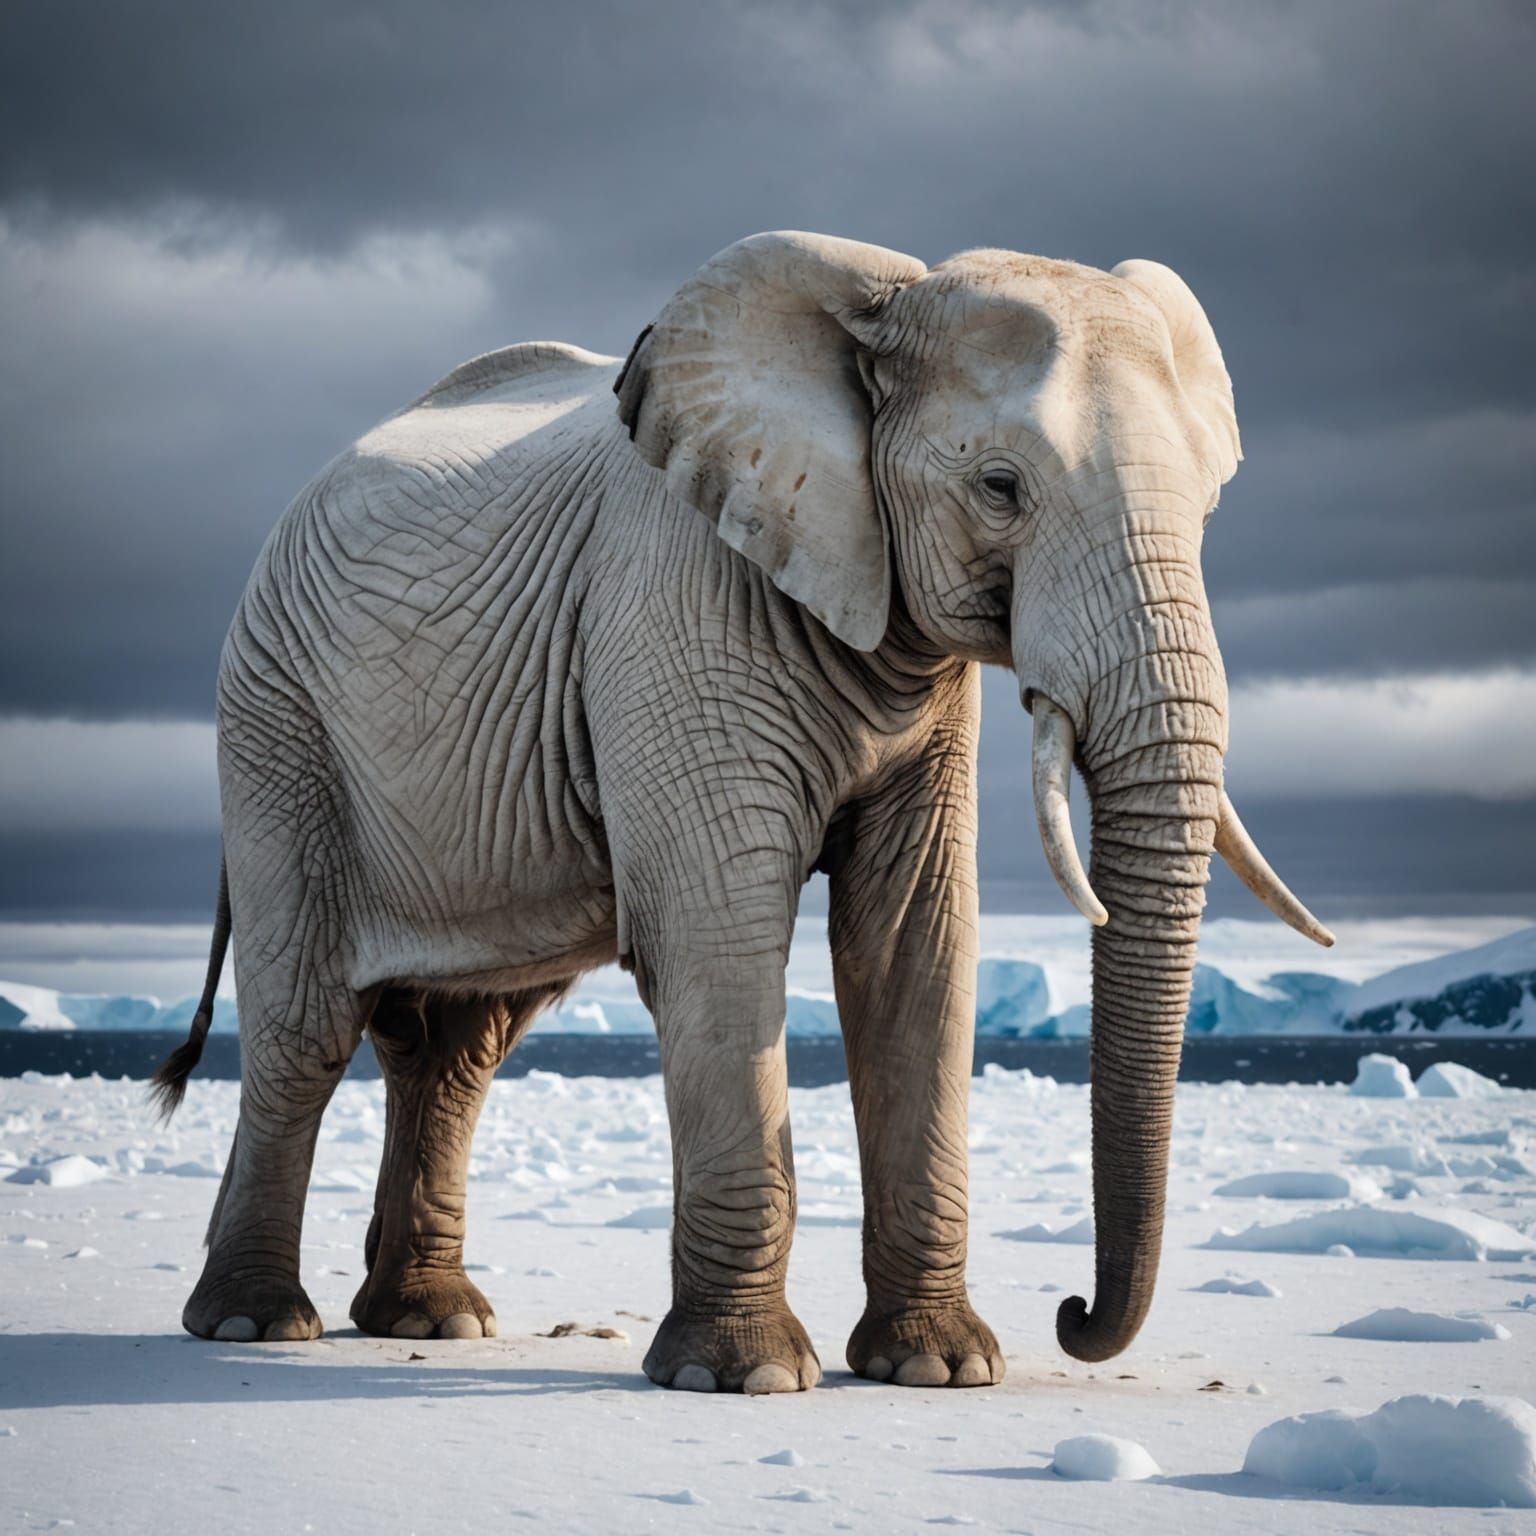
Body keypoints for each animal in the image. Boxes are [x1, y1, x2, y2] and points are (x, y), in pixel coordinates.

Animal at [154, 230, 1331, 1392]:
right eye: (1001, 487)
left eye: (1209, 509)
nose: (1074, 1313)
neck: (880, 305)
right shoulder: (675, 607)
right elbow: (722, 935)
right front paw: (745, 1379)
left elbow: (914, 948)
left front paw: (938, 1367)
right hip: (276, 721)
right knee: (309, 1023)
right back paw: (257, 1326)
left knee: (459, 1050)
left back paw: (433, 1321)